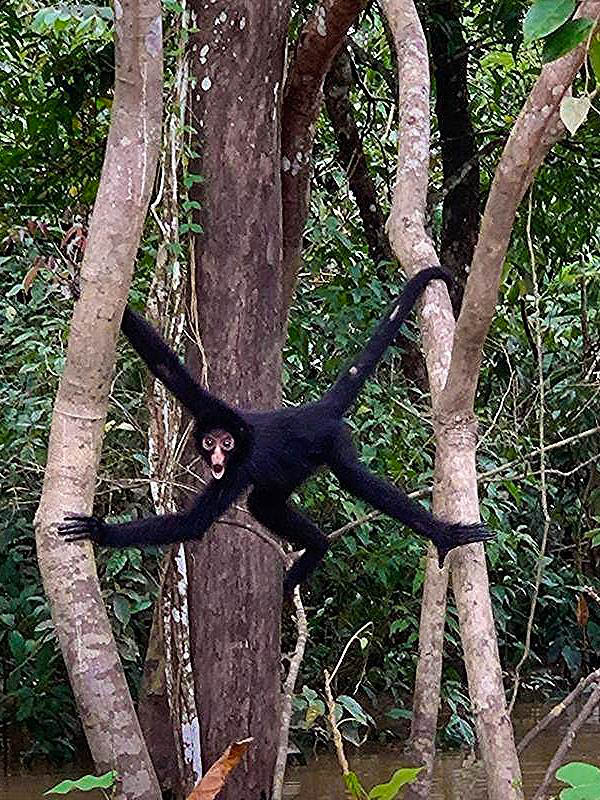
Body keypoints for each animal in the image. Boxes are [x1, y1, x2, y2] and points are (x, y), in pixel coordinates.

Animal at [59, 267, 493, 593]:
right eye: (210, 441)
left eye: (227, 443)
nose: (217, 454)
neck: (240, 434)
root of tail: (315, 411)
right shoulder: (208, 407)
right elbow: (166, 366)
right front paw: (95, 293)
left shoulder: (237, 468)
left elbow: (192, 524)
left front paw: (98, 530)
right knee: (263, 505)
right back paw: (315, 549)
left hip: (334, 441)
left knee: (354, 480)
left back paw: (443, 536)